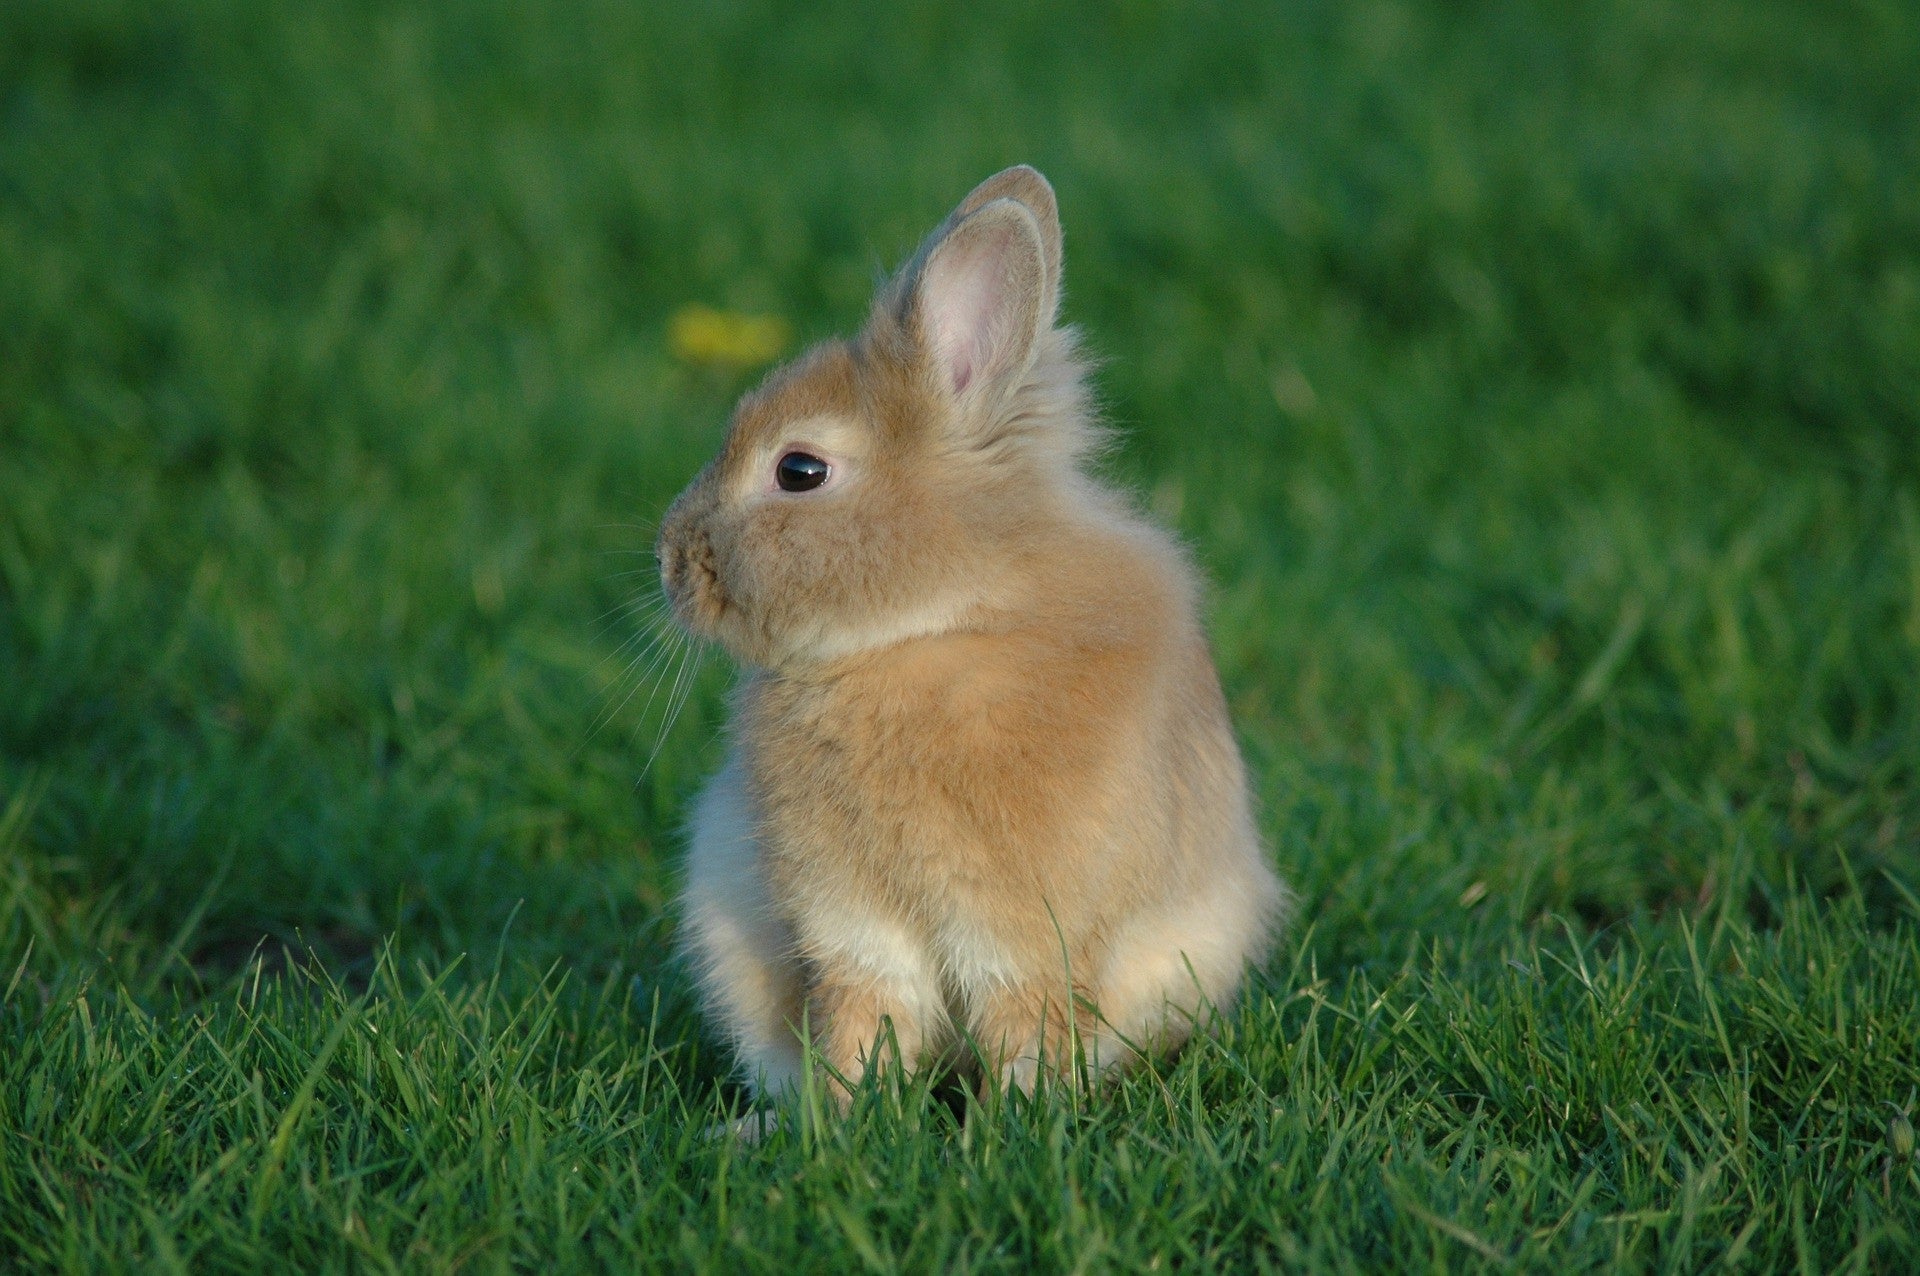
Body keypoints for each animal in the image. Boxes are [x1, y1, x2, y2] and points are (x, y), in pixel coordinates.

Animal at [664, 166, 1290, 1105]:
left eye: (799, 470)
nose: (670, 560)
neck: (932, 628)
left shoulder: (1024, 931)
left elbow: (1019, 1023)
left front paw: (1016, 1122)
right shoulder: (852, 926)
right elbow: (863, 1017)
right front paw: (836, 1118)